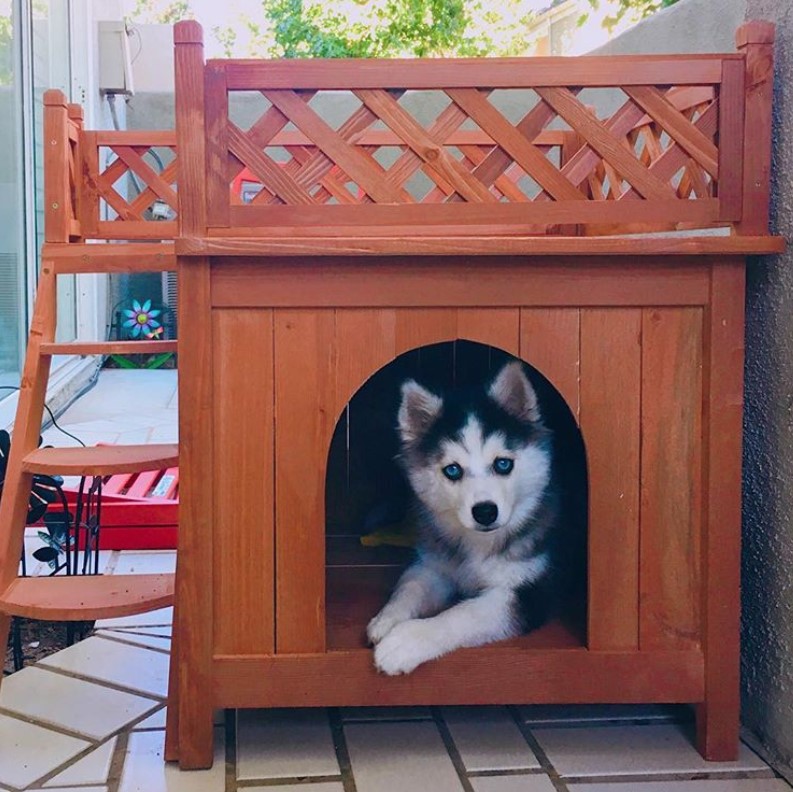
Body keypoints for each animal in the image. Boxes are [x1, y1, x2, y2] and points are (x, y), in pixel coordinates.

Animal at [370, 362, 564, 676]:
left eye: (503, 464)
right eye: (452, 470)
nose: (485, 511)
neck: (480, 543)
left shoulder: (529, 591)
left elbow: (463, 613)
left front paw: (405, 641)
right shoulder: (435, 564)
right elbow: (410, 586)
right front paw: (387, 619)